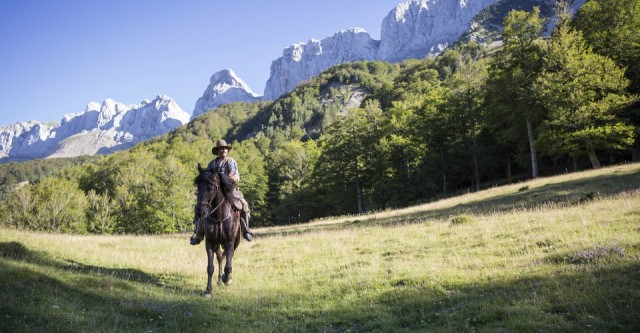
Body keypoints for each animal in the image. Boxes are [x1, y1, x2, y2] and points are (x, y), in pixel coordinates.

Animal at [194, 162, 241, 294]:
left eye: (211, 188)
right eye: (198, 187)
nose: (200, 211)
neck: (219, 216)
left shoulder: (230, 242)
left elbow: (228, 265)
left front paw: (227, 279)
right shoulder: (210, 242)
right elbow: (210, 267)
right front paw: (208, 290)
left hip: (235, 242)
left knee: (228, 258)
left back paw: (226, 278)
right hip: (217, 244)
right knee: (220, 257)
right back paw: (220, 279)